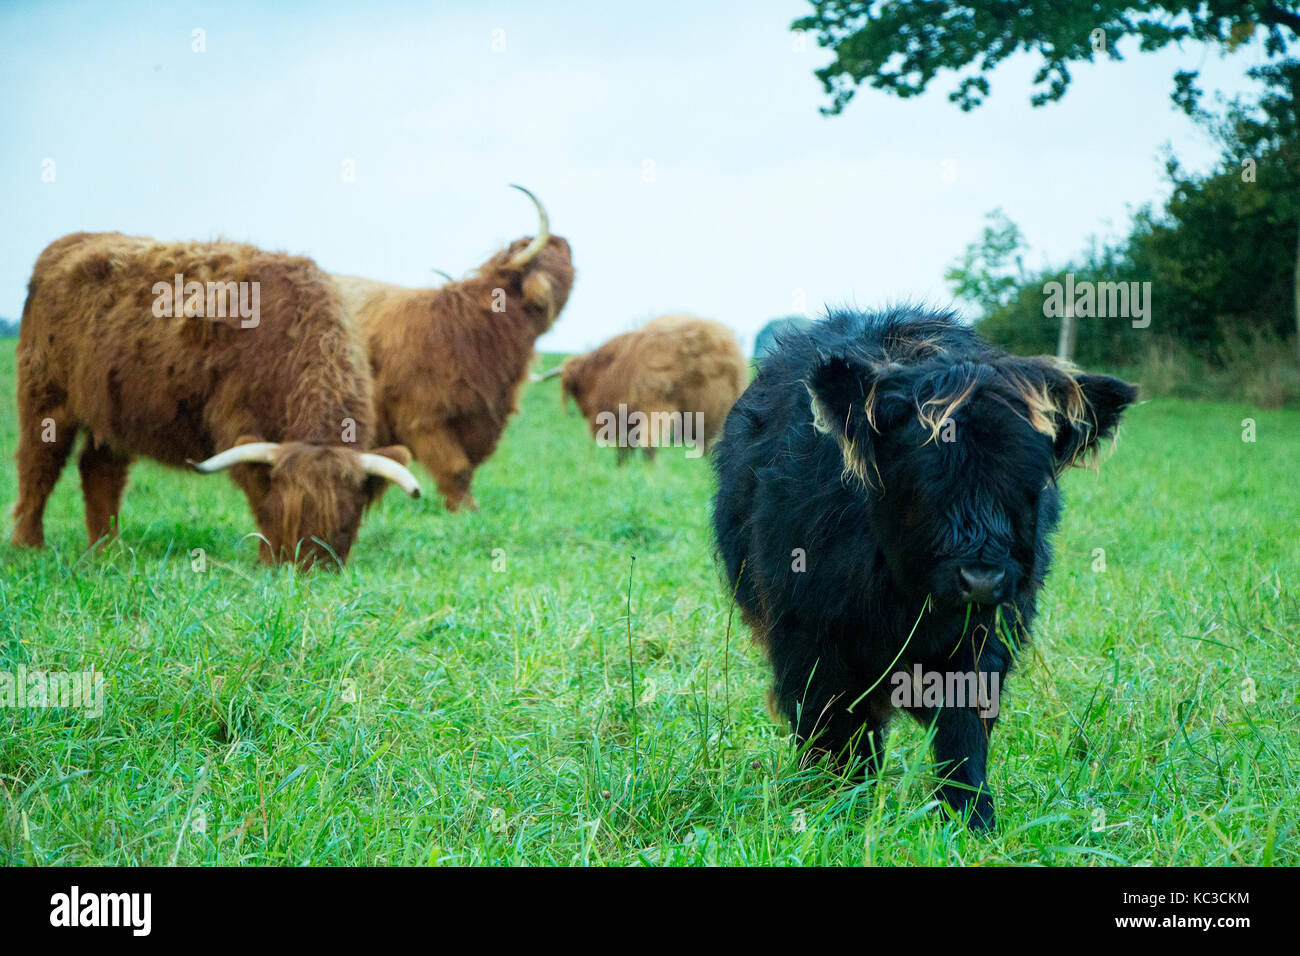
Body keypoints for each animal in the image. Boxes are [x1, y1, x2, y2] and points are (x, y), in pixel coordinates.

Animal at [11, 232, 422, 568]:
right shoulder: (237, 424)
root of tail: (65, 244)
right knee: (38, 466)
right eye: (286, 514)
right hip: (45, 399)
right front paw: (267, 561)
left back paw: (106, 550)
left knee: (99, 469)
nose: (309, 570)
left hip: (111, 409)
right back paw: (27, 546)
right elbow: (258, 495)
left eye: (346, 521)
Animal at [332, 186, 574, 511]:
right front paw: (465, 510)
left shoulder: (479, 418)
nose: (566, 241)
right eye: (550, 247)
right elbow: (456, 468)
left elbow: (467, 467)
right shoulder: (424, 417)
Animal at [711, 306, 1138, 830]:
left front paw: (972, 816)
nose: (982, 579)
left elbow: (964, 733)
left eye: (1027, 479)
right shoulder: (808, 637)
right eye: (922, 476)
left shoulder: (986, 638)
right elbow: (834, 729)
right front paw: (845, 808)